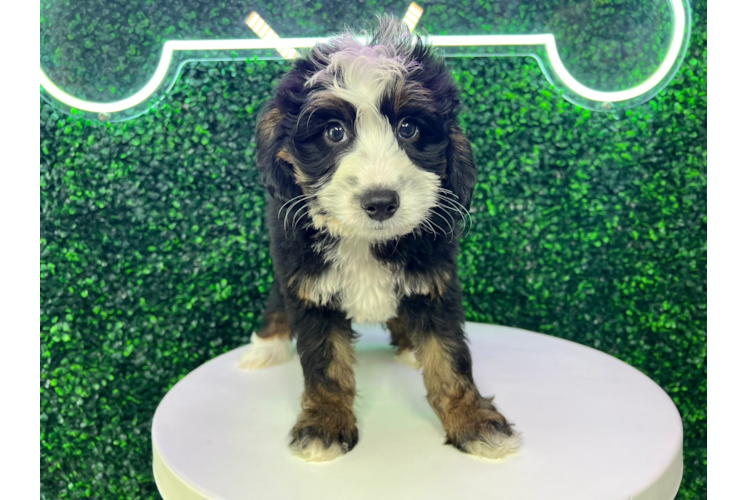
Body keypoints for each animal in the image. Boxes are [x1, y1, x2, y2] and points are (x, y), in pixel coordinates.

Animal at [240, 14, 520, 460]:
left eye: (408, 128)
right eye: (334, 132)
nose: (381, 202)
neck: (363, 240)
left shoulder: (434, 280)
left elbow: (448, 357)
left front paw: (474, 421)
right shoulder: (308, 284)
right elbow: (324, 363)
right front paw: (325, 423)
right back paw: (266, 346)